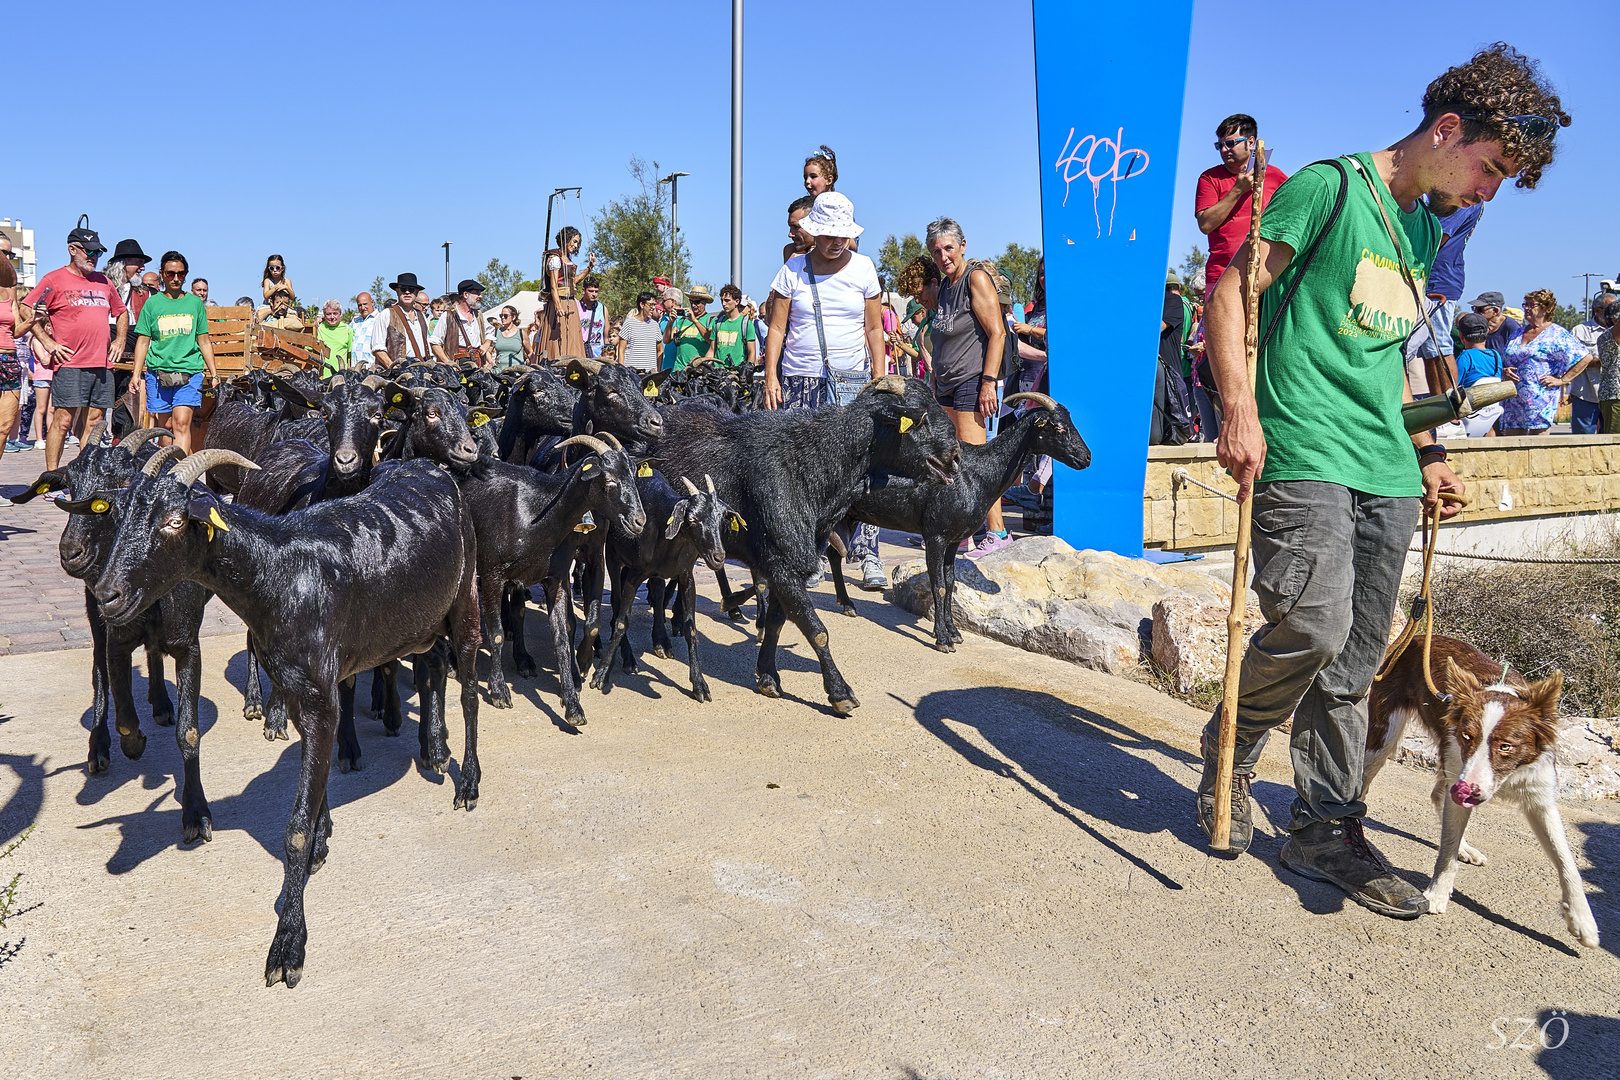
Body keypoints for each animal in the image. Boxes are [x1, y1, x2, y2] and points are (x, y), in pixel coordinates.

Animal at [92, 446, 479, 990]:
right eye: (120, 515)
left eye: (174, 521)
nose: (107, 595)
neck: (281, 574)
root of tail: (432, 467)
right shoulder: (301, 695)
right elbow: (313, 790)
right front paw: (322, 838)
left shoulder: (320, 699)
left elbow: (293, 829)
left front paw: (287, 944)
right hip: (419, 623)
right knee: (434, 662)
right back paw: (436, 749)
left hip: (466, 596)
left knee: (469, 686)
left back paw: (467, 781)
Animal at [592, 472, 725, 702]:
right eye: (692, 519)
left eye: (720, 518)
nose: (718, 557)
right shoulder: (635, 574)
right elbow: (622, 621)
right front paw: (601, 673)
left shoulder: (687, 576)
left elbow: (691, 628)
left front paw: (699, 684)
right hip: (612, 554)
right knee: (617, 601)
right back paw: (628, 656)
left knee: (658, 592)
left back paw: (661, 642)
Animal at [657, 375, 959, 712]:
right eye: (920, 417)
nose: (956, 456)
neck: (811, 467)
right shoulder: (782, 562)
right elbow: (817, 630)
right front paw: (840, 693)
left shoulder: (788, 565)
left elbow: (777, 620)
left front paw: (768, 677)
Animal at [829, 395, 1095, 650]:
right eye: (1058, 426)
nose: (1087, 457)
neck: (977, 474)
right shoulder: (935, 535)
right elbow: (938, 585)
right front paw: (943, 639)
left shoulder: (954, 539)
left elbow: (949, 582)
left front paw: (953, 632)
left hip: (848, 516)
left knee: (834, 554)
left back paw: (847, 604)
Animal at [1367, 634, 1594, 945]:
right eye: (1467, 736)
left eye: (1506, 746)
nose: (1467, 789)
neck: (1508, 776)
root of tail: (1415, 636)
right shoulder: (1458, 765)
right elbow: (1446, 851)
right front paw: (1437, 894)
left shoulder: (1540, 798)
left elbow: (1567, 862)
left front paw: (1582, 920)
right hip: (1385, 739)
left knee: (1439, 796)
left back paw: (1466, 848)